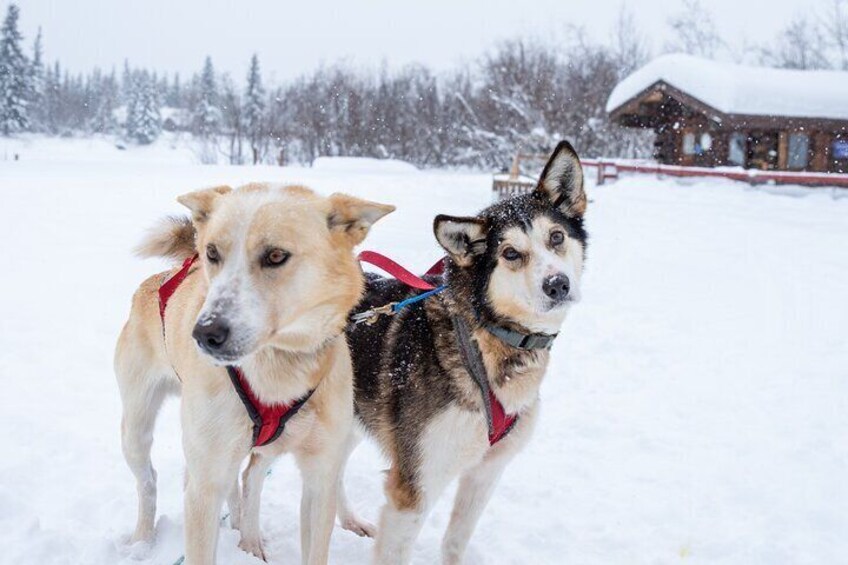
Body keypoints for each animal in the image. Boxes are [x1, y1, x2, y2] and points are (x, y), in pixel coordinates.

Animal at [114, 183, 392, 560]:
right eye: (212, 252)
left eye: (275, 256)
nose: (205, 333)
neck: (276, 369)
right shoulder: (205, 486)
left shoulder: (320, 478)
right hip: (139, 429)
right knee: (149, 483)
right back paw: (143, 541)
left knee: (239, 481)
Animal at [338, 142, 588, 564]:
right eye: (510, 253)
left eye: (556, 237)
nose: (557, 284)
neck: (484, 340)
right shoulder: (414, 488)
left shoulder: (485, 472)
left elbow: (455, 542)